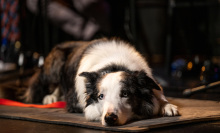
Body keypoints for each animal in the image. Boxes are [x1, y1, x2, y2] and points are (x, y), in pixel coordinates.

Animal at [23, 38, 179, 125]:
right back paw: (51, 97)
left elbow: (159, 94)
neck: (115, 64)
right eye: (101, 96)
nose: (110, 118)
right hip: (54, 65)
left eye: (125, 94)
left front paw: (167, 106)